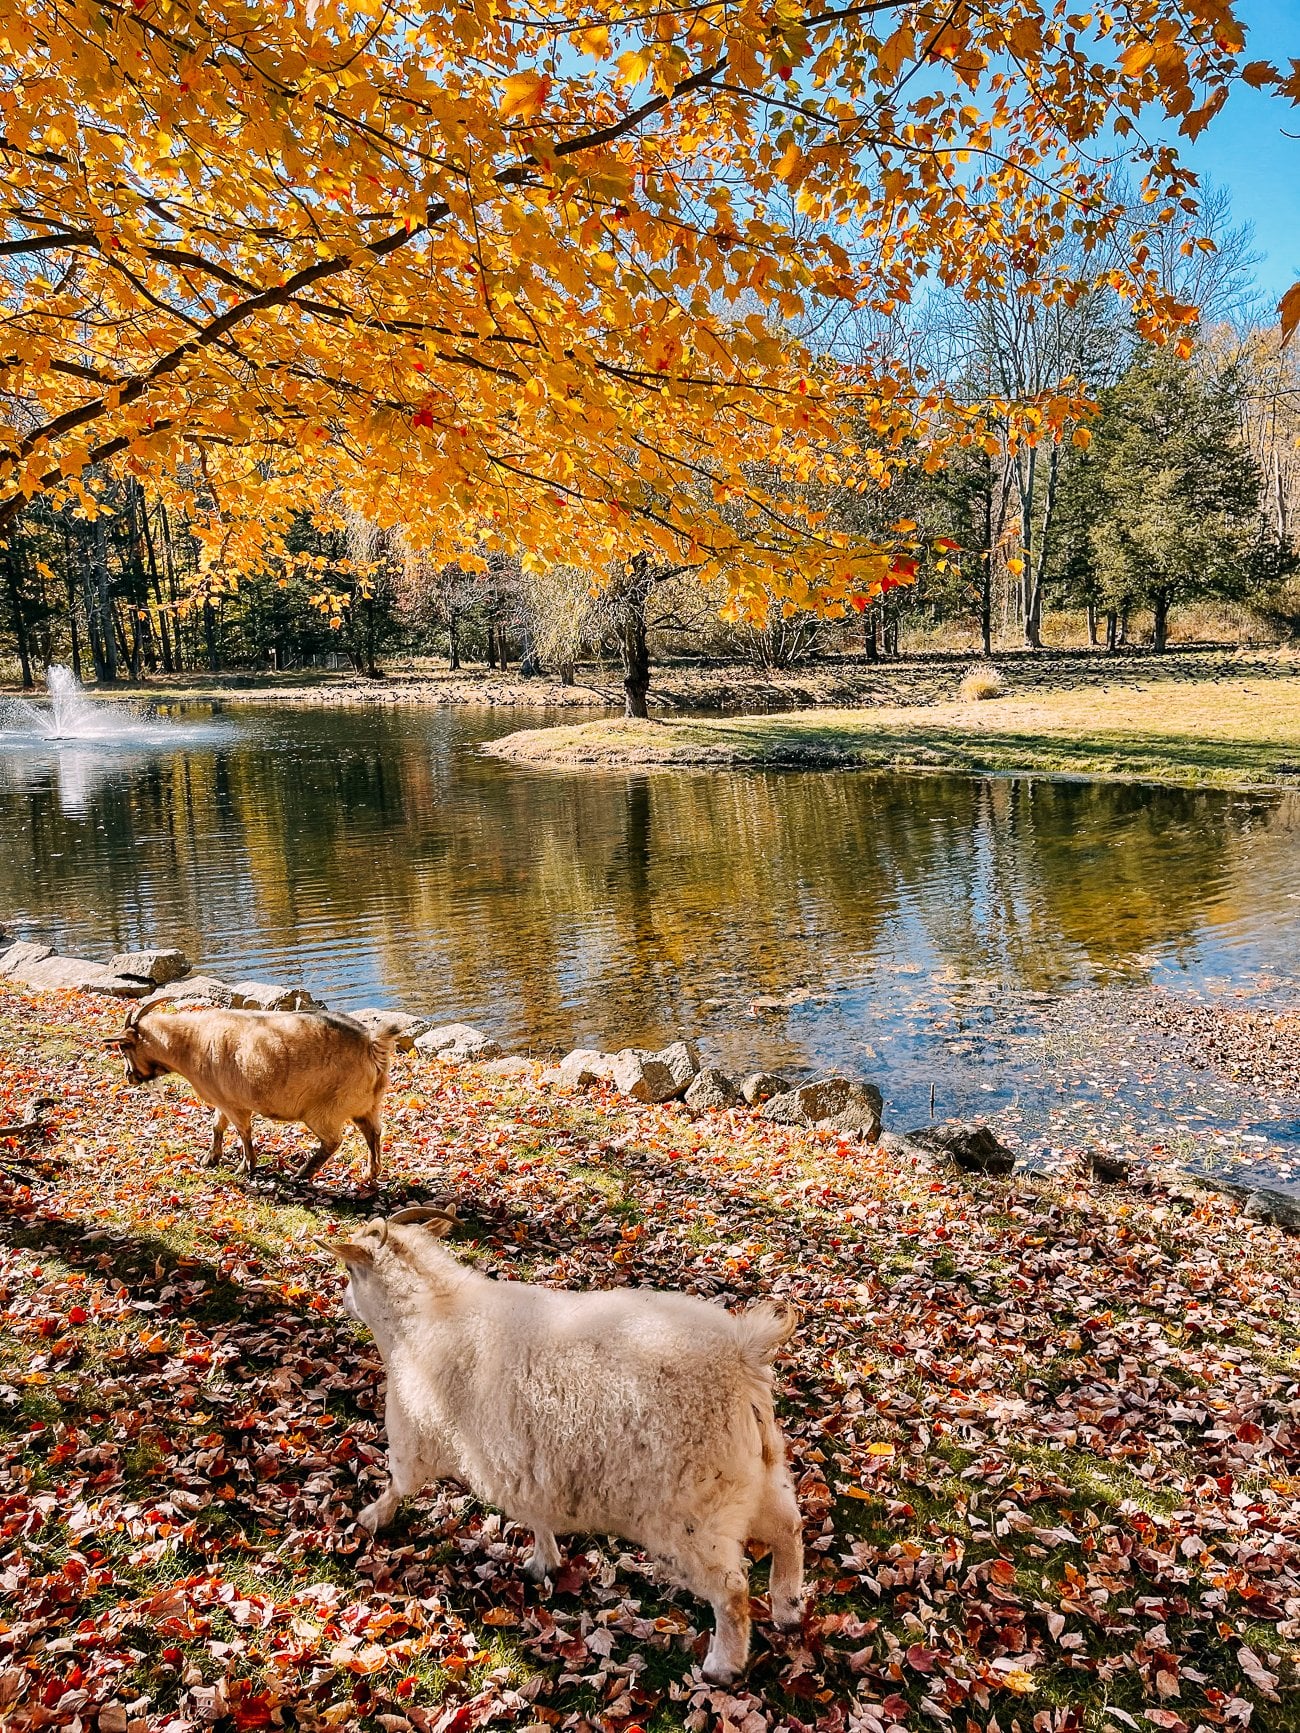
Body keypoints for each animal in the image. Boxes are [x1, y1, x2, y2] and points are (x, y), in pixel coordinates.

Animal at [105, 1003, 403, 1185]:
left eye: (124, 1048)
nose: (129, 1076)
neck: (190, 1042)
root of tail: (372, 1044)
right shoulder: (222, 1101)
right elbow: (217, 1125)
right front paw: (210, 1158)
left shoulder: (234, 1104)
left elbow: (243, 1132)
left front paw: (245, 1167)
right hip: (367, 1105)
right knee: (373, 1133)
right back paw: (370, 1172)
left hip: (323, 1110)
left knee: (333, 1141)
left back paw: (302, 1173)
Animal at [319, 1207, 805, 1684]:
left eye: (351, 1270)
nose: (343, 1302)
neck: (430, 1310)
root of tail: (742, 1356)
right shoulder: (526, 1464)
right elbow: (537, 1514)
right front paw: (545, 1561)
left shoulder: (412, 1433)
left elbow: (398, 1484)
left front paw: (369, 1518)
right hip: (757, 1474)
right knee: (789, 1527)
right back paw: (788, 1609)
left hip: (695, 1515)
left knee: (733, 1590)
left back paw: (723, 1664)